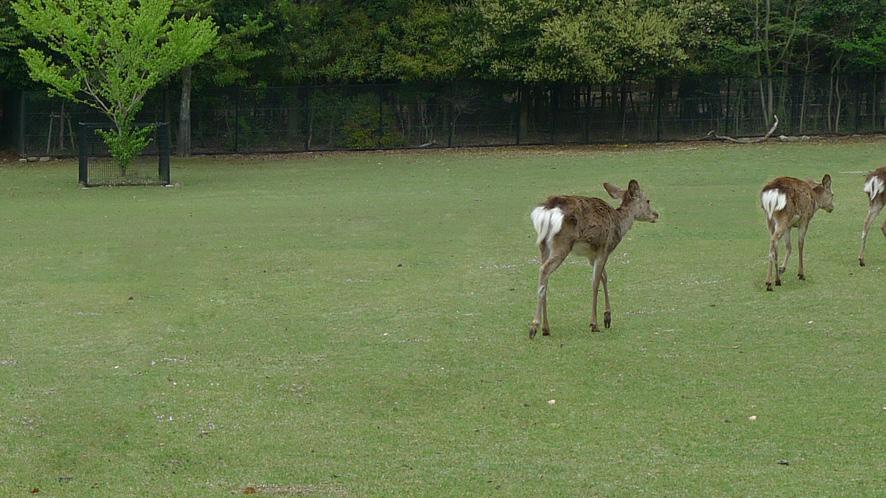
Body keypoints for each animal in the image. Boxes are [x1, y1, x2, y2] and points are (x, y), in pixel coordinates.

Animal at [528, 179, 660, 338]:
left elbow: (604, 276)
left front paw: (607, 318)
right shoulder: (604, 249)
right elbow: (596, 282)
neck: (619, 224)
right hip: (563, 243)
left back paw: (546, 328)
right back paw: (534, 327)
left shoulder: (592, 256)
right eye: (647, 200)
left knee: (545, 277)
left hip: (543, 245)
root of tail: (546, 211)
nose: (656, 214)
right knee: (544, 270)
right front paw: (594, 324)